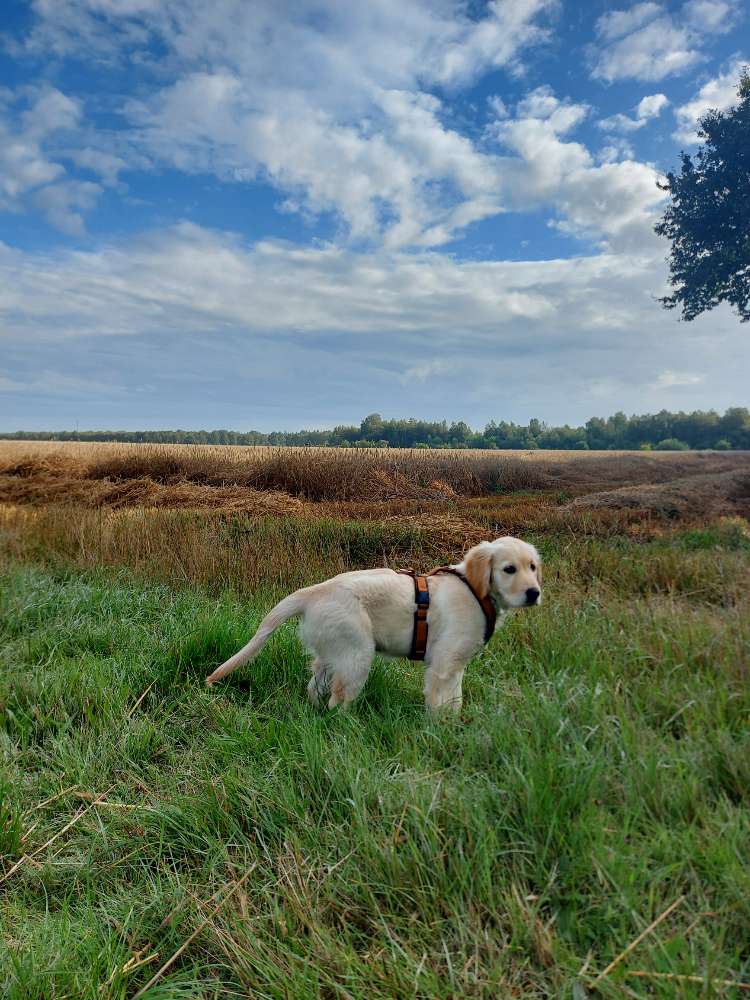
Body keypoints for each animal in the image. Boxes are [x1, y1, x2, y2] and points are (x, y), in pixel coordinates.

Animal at [209, 540, 544, 712]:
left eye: (533, 567)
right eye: (509, 569)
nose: (534, 593)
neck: (475, 591)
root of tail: (315, 591)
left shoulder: (455, 666)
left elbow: (455, 700)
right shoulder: (444, 664)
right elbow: (441, 704)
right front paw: (441, 732)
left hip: (332, 653)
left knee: (315, 686)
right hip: (356, 654)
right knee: (338, 701)